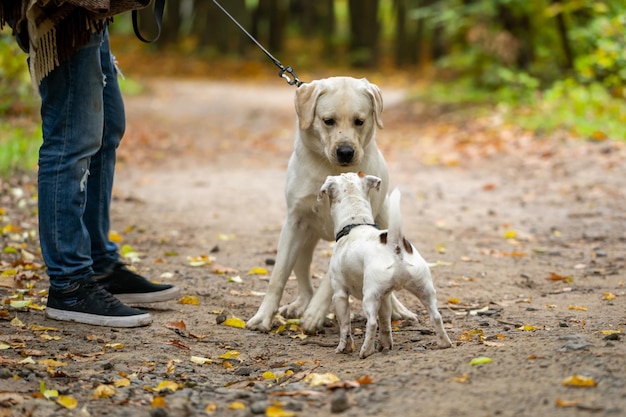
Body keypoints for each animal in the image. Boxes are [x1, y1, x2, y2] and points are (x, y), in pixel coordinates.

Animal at [246, 76, 416, 334]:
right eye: (328, 121)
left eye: (359, 121)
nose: (345, 152)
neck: (332, 168)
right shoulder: (294, 223)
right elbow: (278, 275)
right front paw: (263, 317)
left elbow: (328, 278)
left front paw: (315, 313)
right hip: (303, 244)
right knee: (303, 278)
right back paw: (298, 305)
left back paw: (396, 310)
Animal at [316, 172, 448, 358]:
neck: (356, 223)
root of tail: (395, 243)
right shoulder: (385, 297)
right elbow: (385, 322)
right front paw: (385, 344)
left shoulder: (340, 295)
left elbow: (345, 327)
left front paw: (344, 348)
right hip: (424, 290)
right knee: (436, 316)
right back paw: (444, 343)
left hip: (369, 297)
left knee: (371, 323)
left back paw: (365, 351)